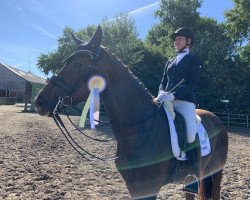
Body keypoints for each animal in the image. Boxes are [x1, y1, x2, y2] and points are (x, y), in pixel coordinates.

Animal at [34, 25, 229, 200]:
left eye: (78, 64)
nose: (39, 102)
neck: (139, 129)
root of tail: (217, 119)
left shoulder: (149, 187)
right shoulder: (134, 186)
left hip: (217, 171)